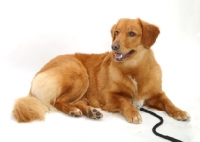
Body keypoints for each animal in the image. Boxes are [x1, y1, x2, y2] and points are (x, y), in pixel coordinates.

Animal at [13, 18, 190, 123]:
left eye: (132, 33)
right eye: (117, 32)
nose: (114, 46)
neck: (133, 71)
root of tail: (39, 73)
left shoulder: (156, 94)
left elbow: (168, 101)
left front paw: (179, 112)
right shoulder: (109, 96)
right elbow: (125, 100)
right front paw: (133, 113)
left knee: (76, 101)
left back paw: (90, 111)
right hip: (79, 73)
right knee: (57, 101)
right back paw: (74, 111)